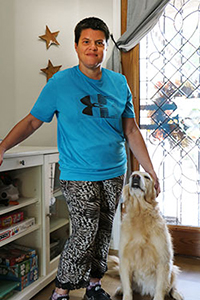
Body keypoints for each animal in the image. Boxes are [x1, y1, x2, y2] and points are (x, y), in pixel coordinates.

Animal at [108, 171, 183, 300]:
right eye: (132, 175)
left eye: (147, 177)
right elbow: (127, 287)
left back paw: (177, 294)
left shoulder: (163, 260)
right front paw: (126, 295)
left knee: (171, 287)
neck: (140, 213)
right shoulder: (125, 259)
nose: (135, 177)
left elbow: (160, 289)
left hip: (173, 269)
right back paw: (120, 289)